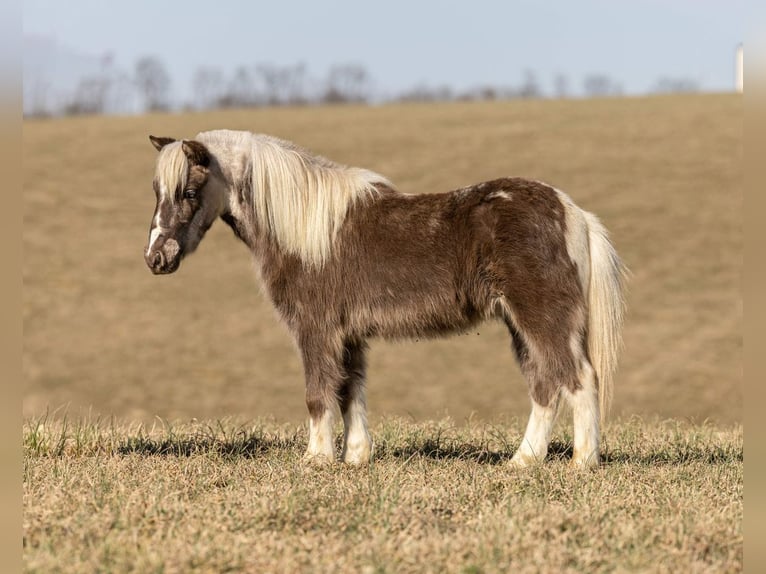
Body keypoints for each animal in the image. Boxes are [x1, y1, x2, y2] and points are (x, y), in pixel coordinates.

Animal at [144, 129, 627, 468]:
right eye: (157, 192)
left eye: (189, 192)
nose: (156, 258)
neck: (307, 229)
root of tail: (573, 213)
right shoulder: (349, 335)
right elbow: (350, 390)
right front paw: (356, 456)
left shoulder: (316, 330)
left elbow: (319, 392)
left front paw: (315, 459)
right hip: (520, 325)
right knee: (545, 386)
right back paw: (522, 461)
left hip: (543, 319)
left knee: (579, 379)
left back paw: (583, 463)